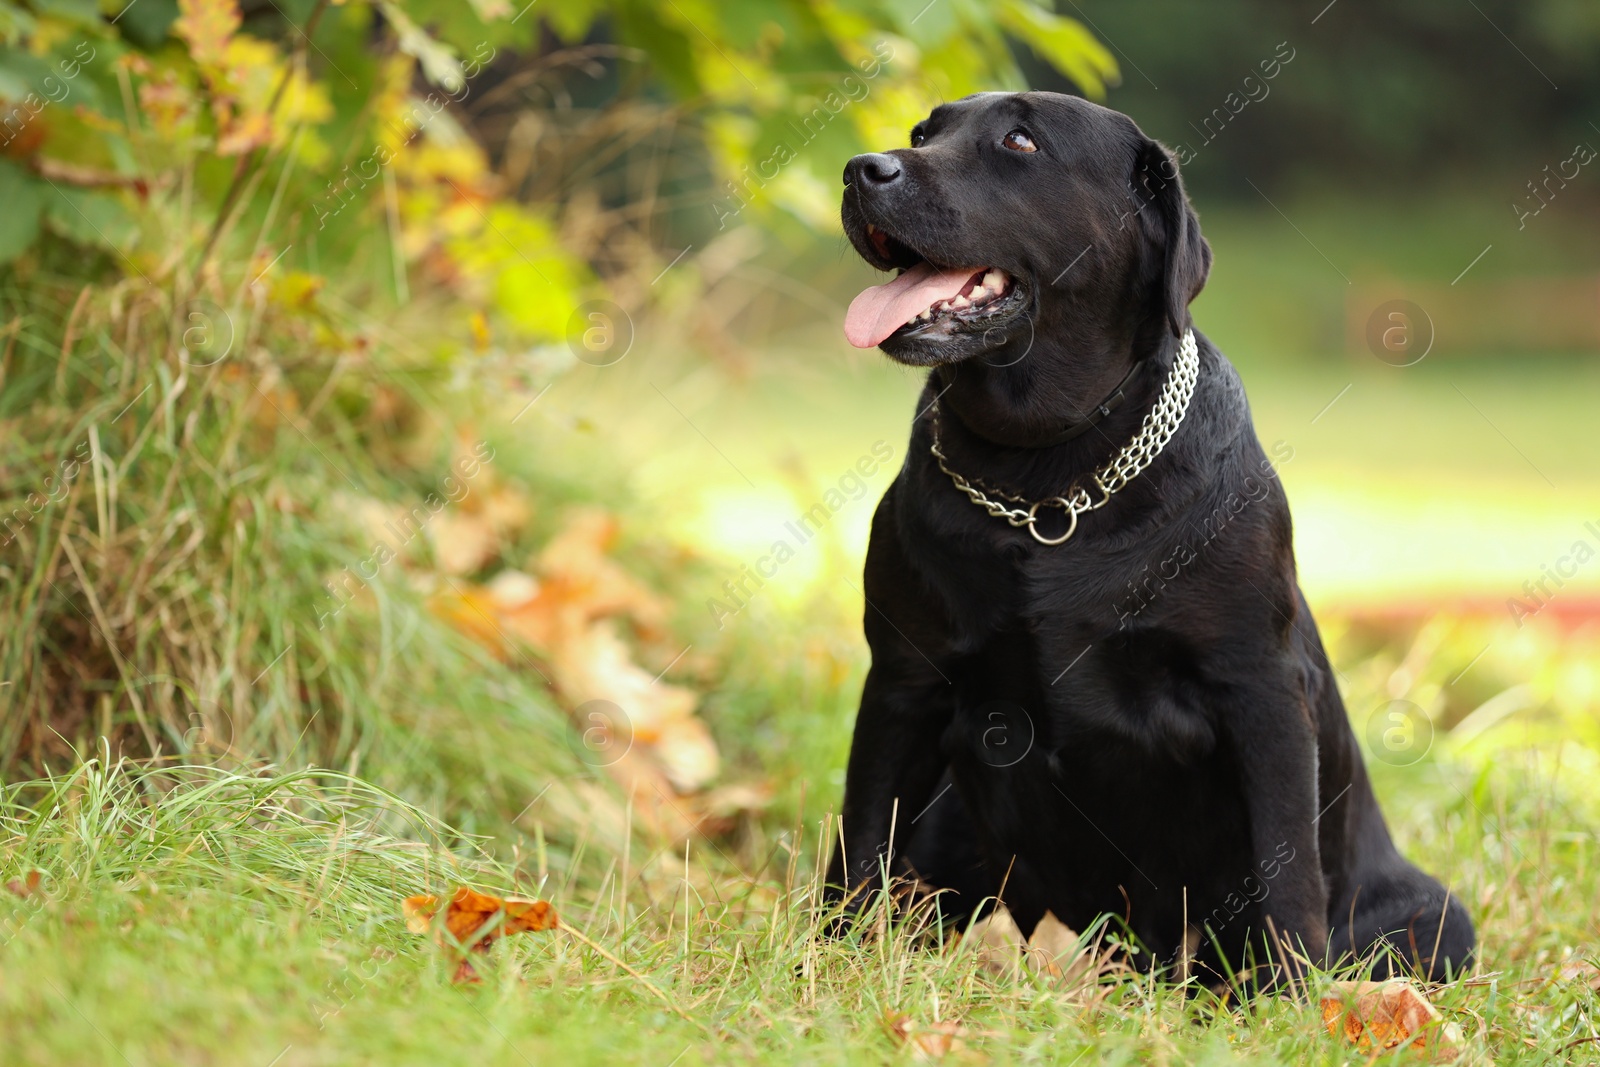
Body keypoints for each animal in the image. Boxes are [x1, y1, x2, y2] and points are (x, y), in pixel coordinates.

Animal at [825, 91, 1472, 991]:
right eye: (925, 132)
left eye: (1020, 140)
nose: (863, 169)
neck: (1046, 480)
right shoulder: (902, 679)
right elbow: (860, 839)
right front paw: (829, 963)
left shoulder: (1260, 689)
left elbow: (1285, 870)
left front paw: (1290, 999)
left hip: (1436, 917)